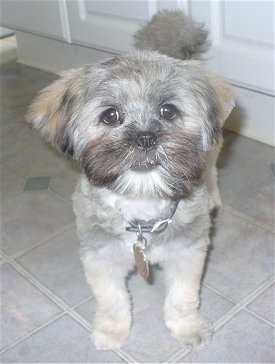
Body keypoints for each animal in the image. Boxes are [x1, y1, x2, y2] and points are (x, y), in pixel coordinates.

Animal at [27, 9, 235, 352]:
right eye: (110, 115)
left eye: (168, 111)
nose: (145, 138)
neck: (143, 211)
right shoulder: (100, 258)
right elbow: (112, 300)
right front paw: (112, 331)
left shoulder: (188, 254)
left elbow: (182, 297)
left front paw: (187, 327)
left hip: (213, 151)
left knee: (213, 170)